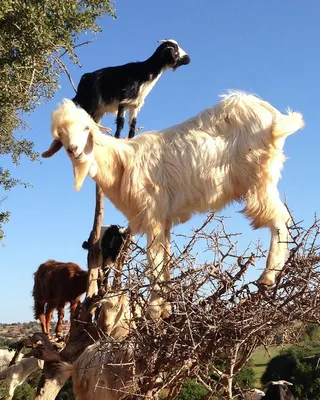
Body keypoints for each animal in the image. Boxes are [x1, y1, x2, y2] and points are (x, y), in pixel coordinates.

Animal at [43, 92, 304, 318]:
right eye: (61, 135)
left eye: (86, 129)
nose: (74, 150)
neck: (121, 163)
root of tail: (273, 117)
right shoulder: (164, 220)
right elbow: (165, 258)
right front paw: (166, 307)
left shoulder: (153, 214)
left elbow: (154, 260)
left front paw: (154, 310)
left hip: (259, 179)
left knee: (279, 220)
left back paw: (268, 277)